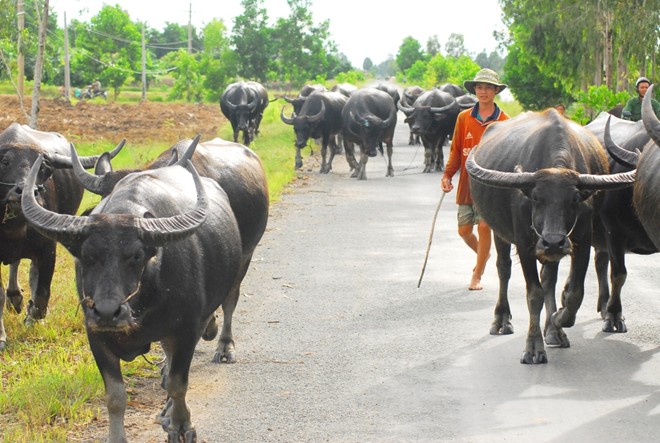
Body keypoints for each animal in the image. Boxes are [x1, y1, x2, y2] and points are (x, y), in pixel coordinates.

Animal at [466, 110, 636, 364]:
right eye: (536, 198)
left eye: (574, 199)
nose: (553, 241)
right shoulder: (525, 244)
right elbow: (534, 295)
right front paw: (533, 347)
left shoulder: (582, 241)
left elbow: (575, 293)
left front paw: (557, 320)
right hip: (499, 232)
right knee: (504, 269)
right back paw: (501, 320)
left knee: (548, 279)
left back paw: (554, 331)